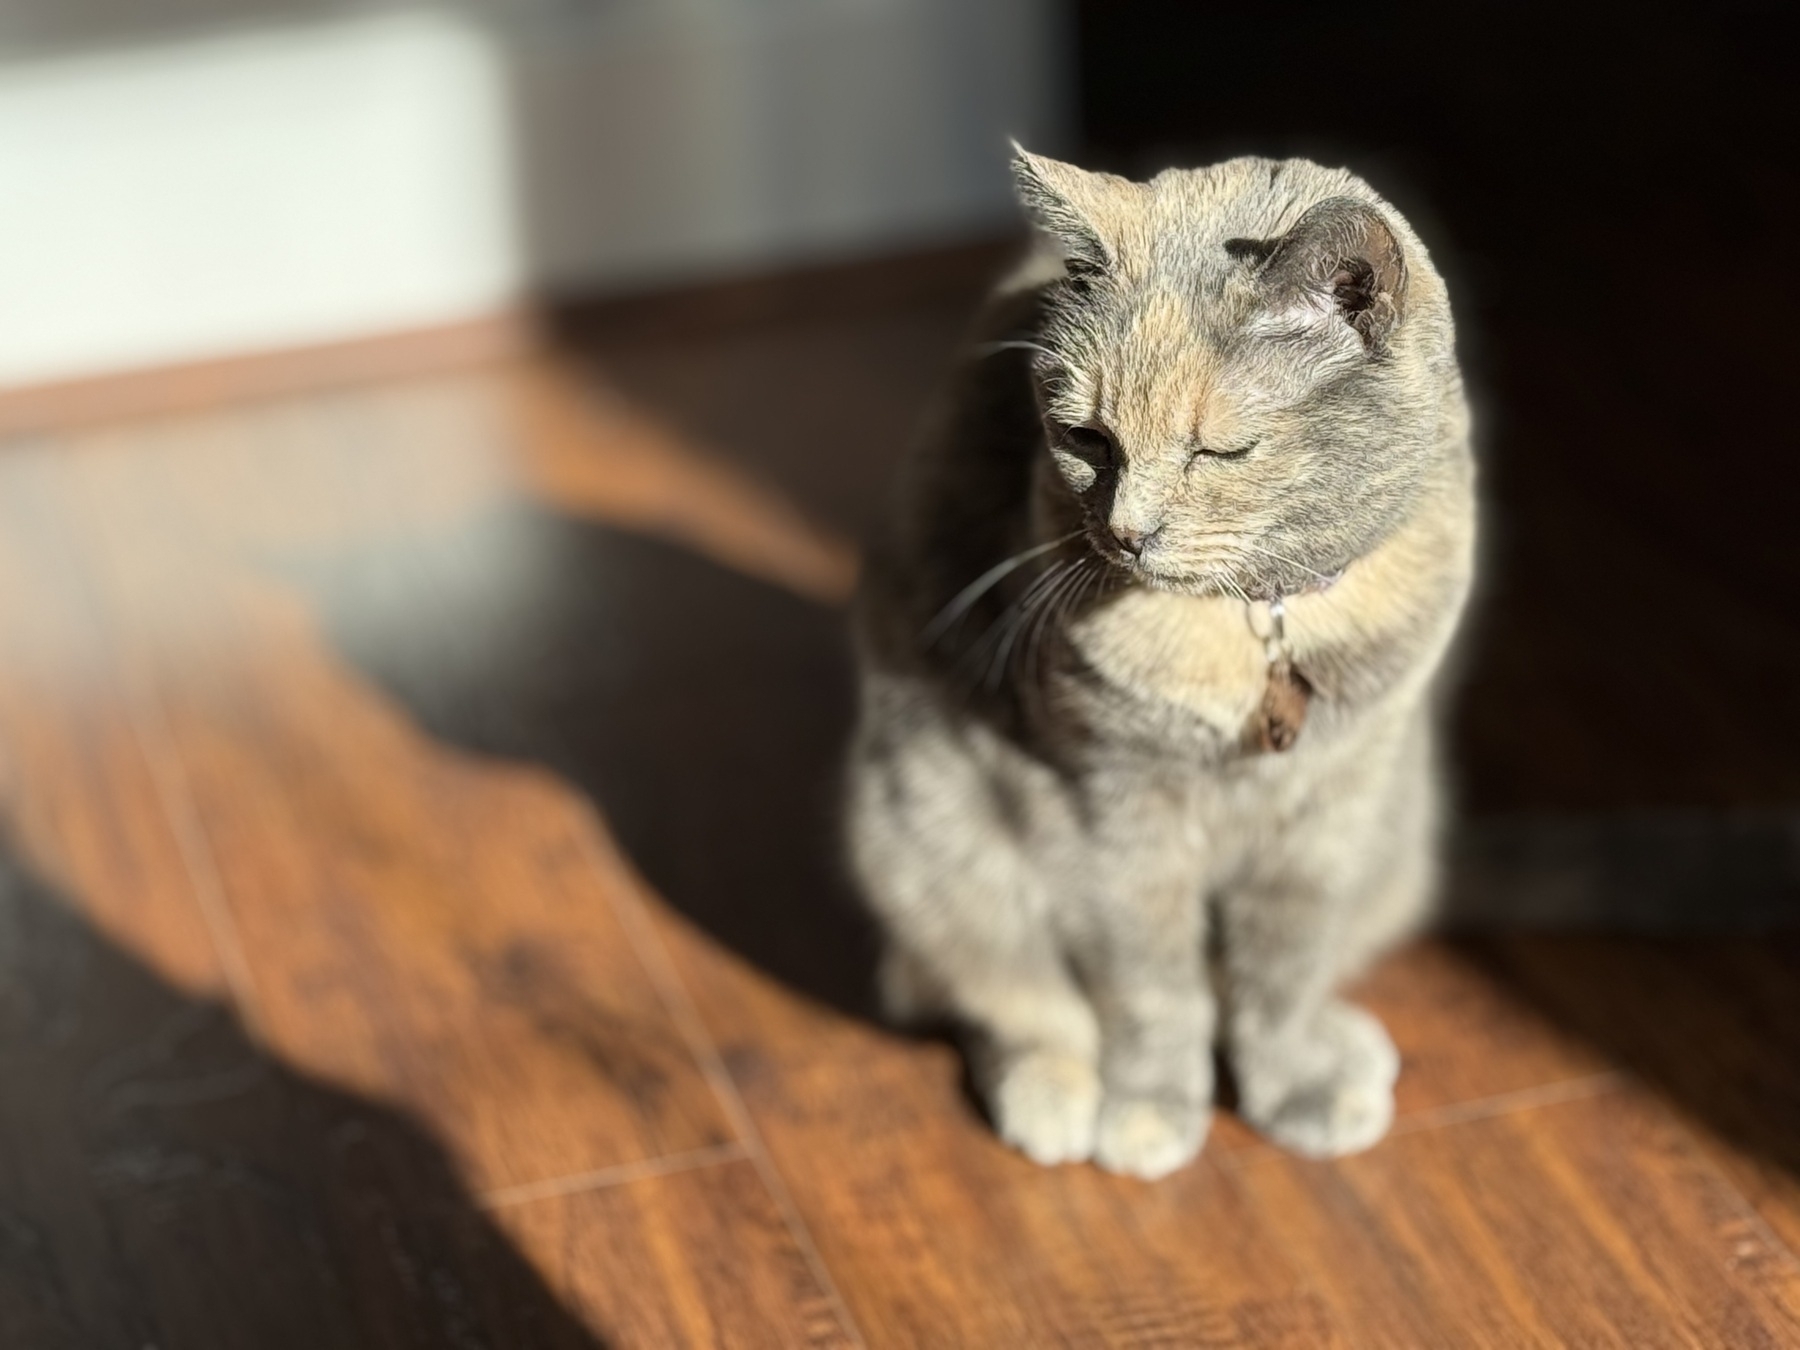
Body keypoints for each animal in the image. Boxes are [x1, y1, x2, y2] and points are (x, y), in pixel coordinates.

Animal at [842, 147, 1476, 1180]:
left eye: (1221, 449)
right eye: (1086, 438)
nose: (1127, 534)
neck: (1254, 623)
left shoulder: (1335, 806)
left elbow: (1281, 972)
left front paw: (1291, 1089)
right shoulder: (1113, 810)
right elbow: (1152, 989)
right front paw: (1150, 1113)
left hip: (1400, 845)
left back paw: (1346, 1052)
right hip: (926, 834)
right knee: (1003, 1003)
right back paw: (1058, 1098)